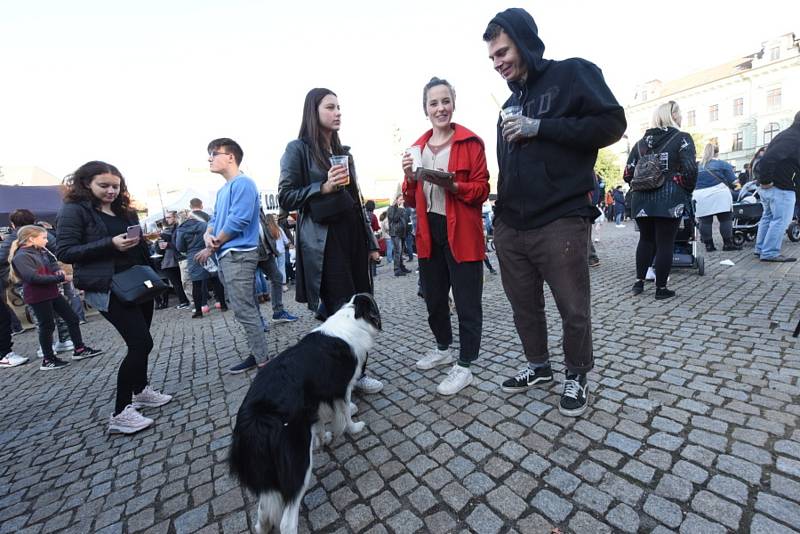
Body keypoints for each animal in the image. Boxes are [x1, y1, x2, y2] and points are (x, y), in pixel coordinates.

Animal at [230, 296, 382, 532]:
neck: (352, 316)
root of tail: (255, 419)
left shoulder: (312, 402)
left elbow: (318, 424)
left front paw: (323, 439)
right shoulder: (341, 387)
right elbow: (345, 413)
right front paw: (354, 427)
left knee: (263, 510)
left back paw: (262, 525)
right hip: (297, 460)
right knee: (286, 521)